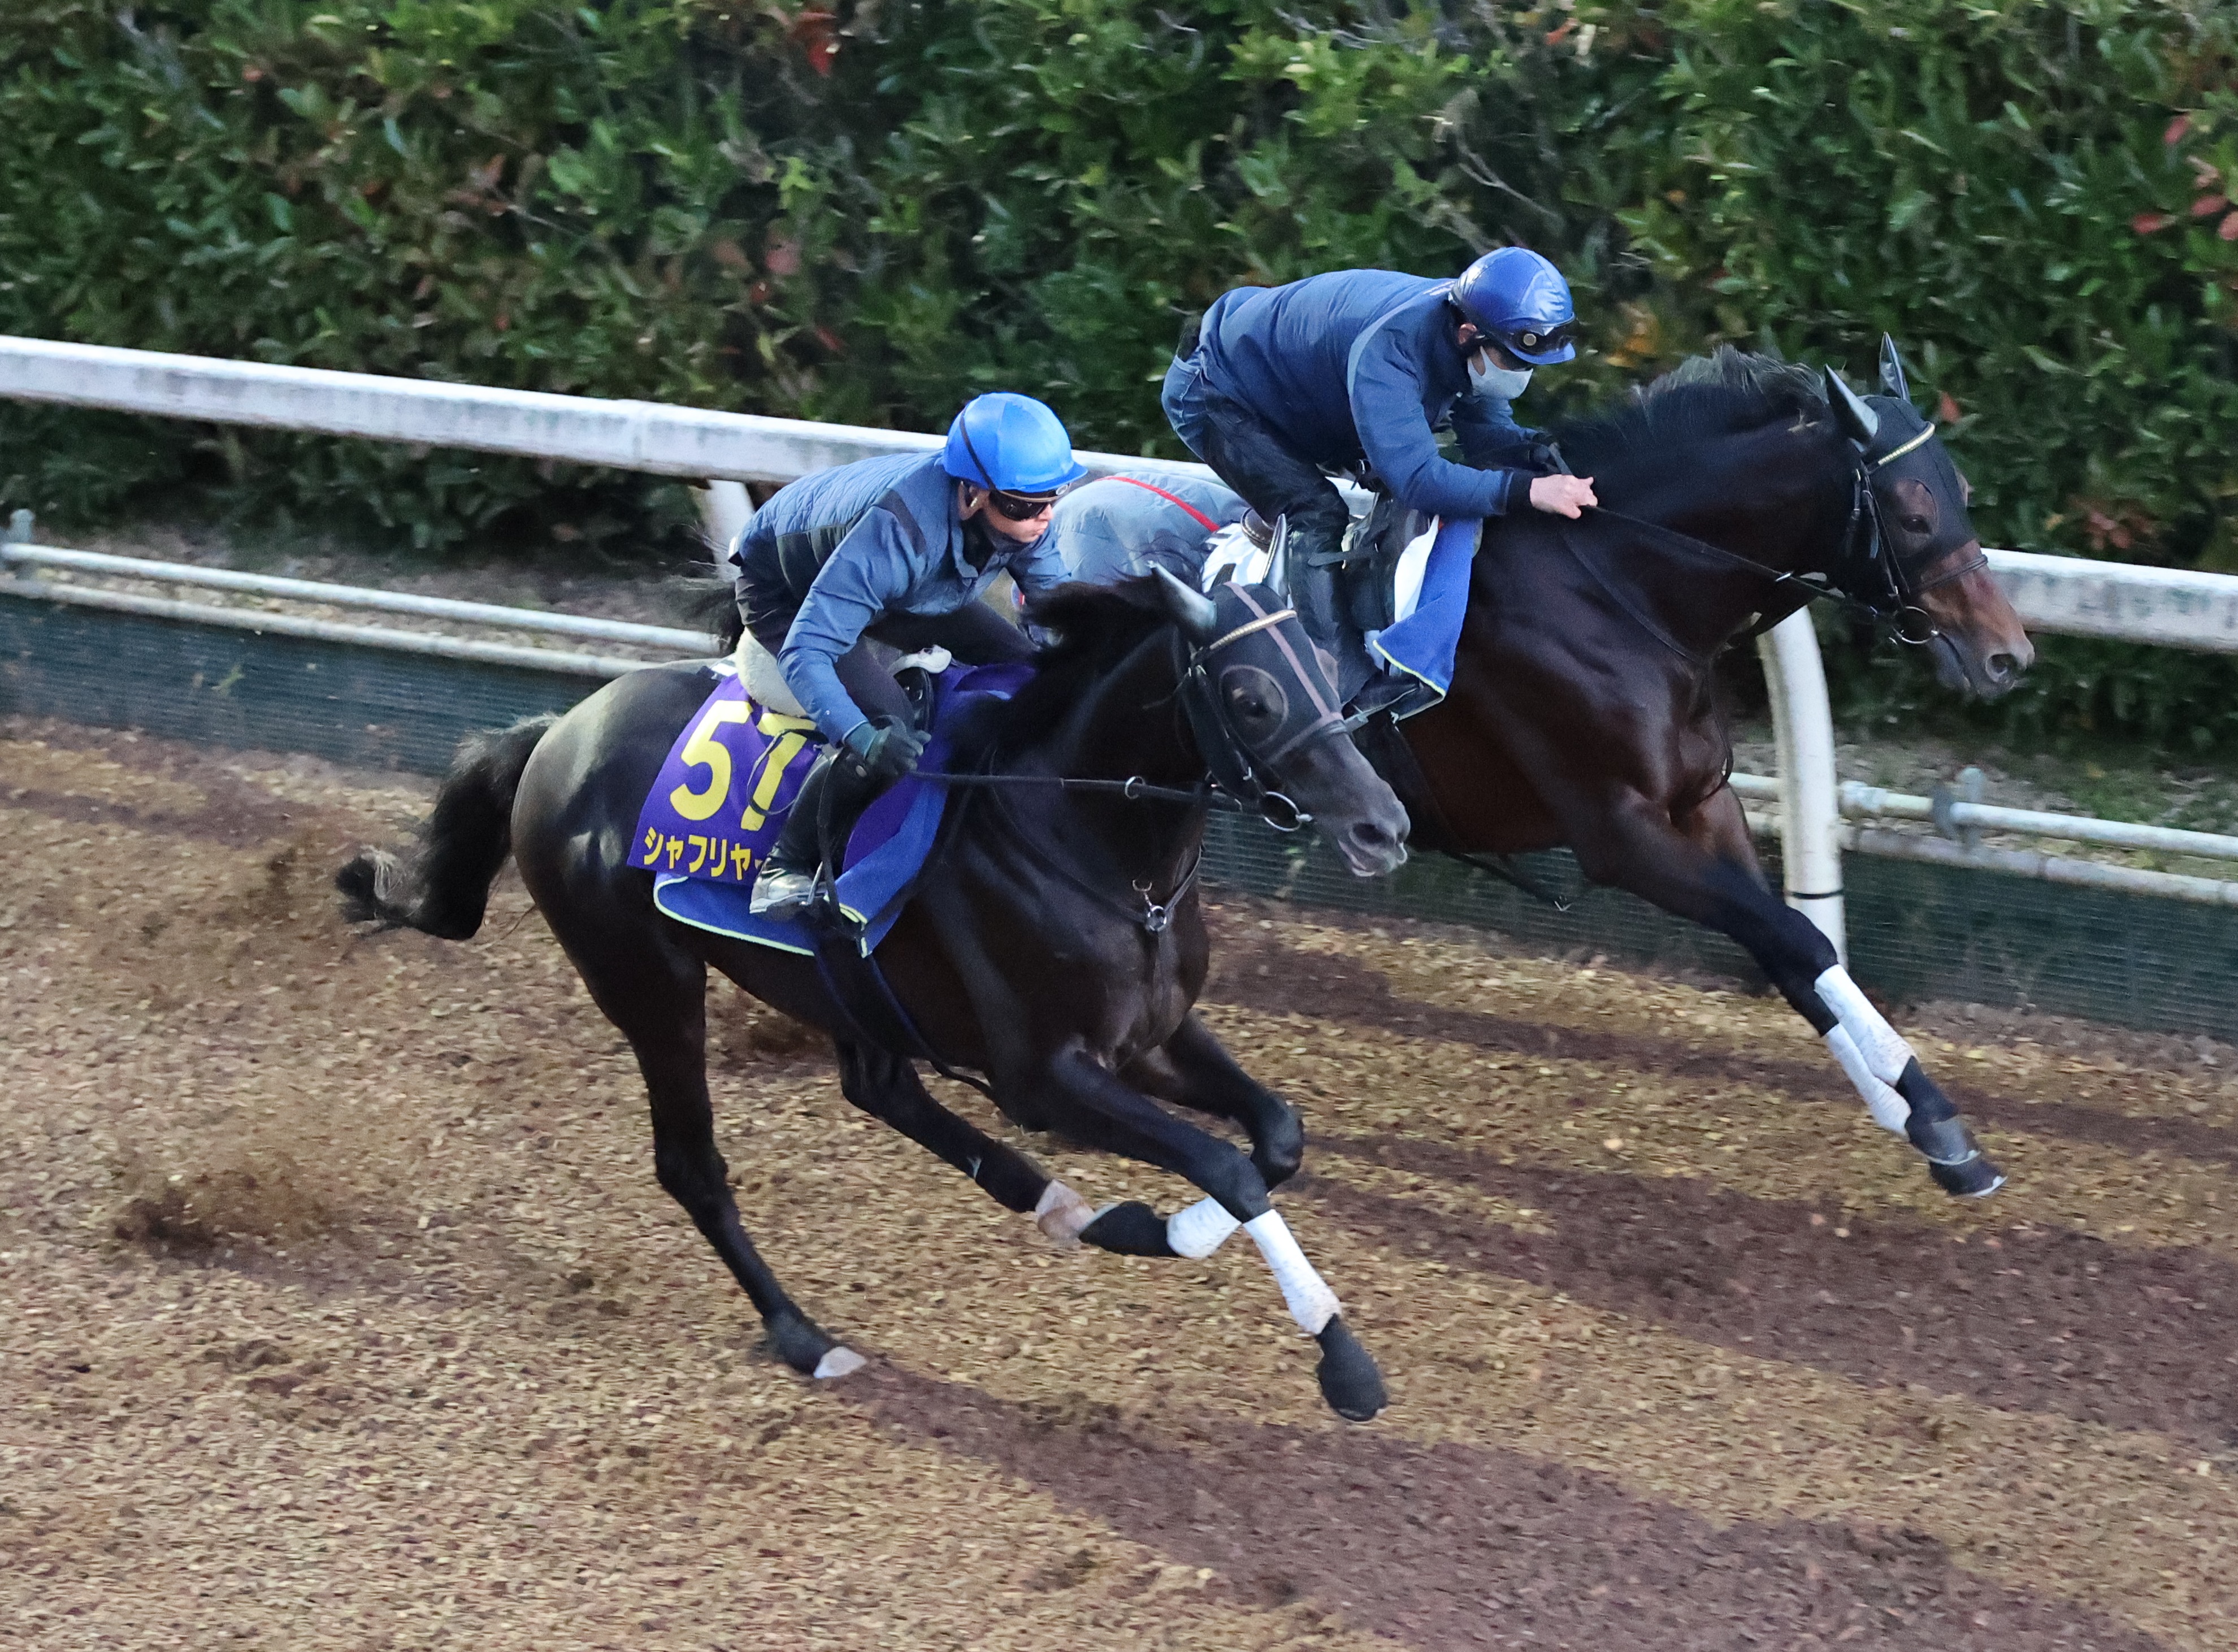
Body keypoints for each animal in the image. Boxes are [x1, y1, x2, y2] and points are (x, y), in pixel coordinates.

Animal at [337, 577, 1405, 1415]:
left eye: (1330, 667)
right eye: (1251, 697)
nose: (1385, 825)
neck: (1082, 835)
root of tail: (556, 731)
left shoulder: (1152, 1036)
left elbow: (1276, 1137)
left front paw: (1177, 1225)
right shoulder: (1044, 1076)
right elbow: (1226, 1167)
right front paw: (1342, 1361)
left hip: (839, 986)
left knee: (882, 1088)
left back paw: (1085, 1214)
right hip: (647, 982)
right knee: (693, 1164)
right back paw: (806, 1335)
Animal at [1369, 346, 2041, 1191]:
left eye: (1966, 495)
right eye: (1913, 514)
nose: (2007, 656)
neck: (1611, 588)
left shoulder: (1705, 806)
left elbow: (1790, 950)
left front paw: (1922, 1119)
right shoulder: (1622, 837)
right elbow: (1804, 941)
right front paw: (1929, 1110)